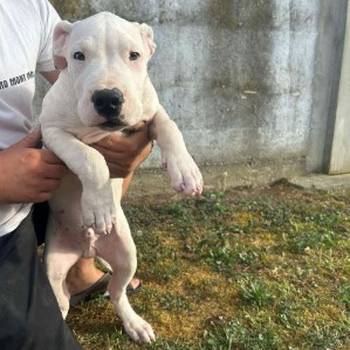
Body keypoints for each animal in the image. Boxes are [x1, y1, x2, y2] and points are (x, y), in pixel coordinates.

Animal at [39, 11, 202, 344]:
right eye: (78, 56)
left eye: (134, 55)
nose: (107, 99)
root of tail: (87, 248)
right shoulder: (52, 132)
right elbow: (91, 158)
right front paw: (99, 206)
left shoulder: (150, 109)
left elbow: (168, 125)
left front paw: (185, 169)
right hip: (52, 267)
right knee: (61, 300)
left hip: (127, 254)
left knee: (117, 292)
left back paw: (134, 323)